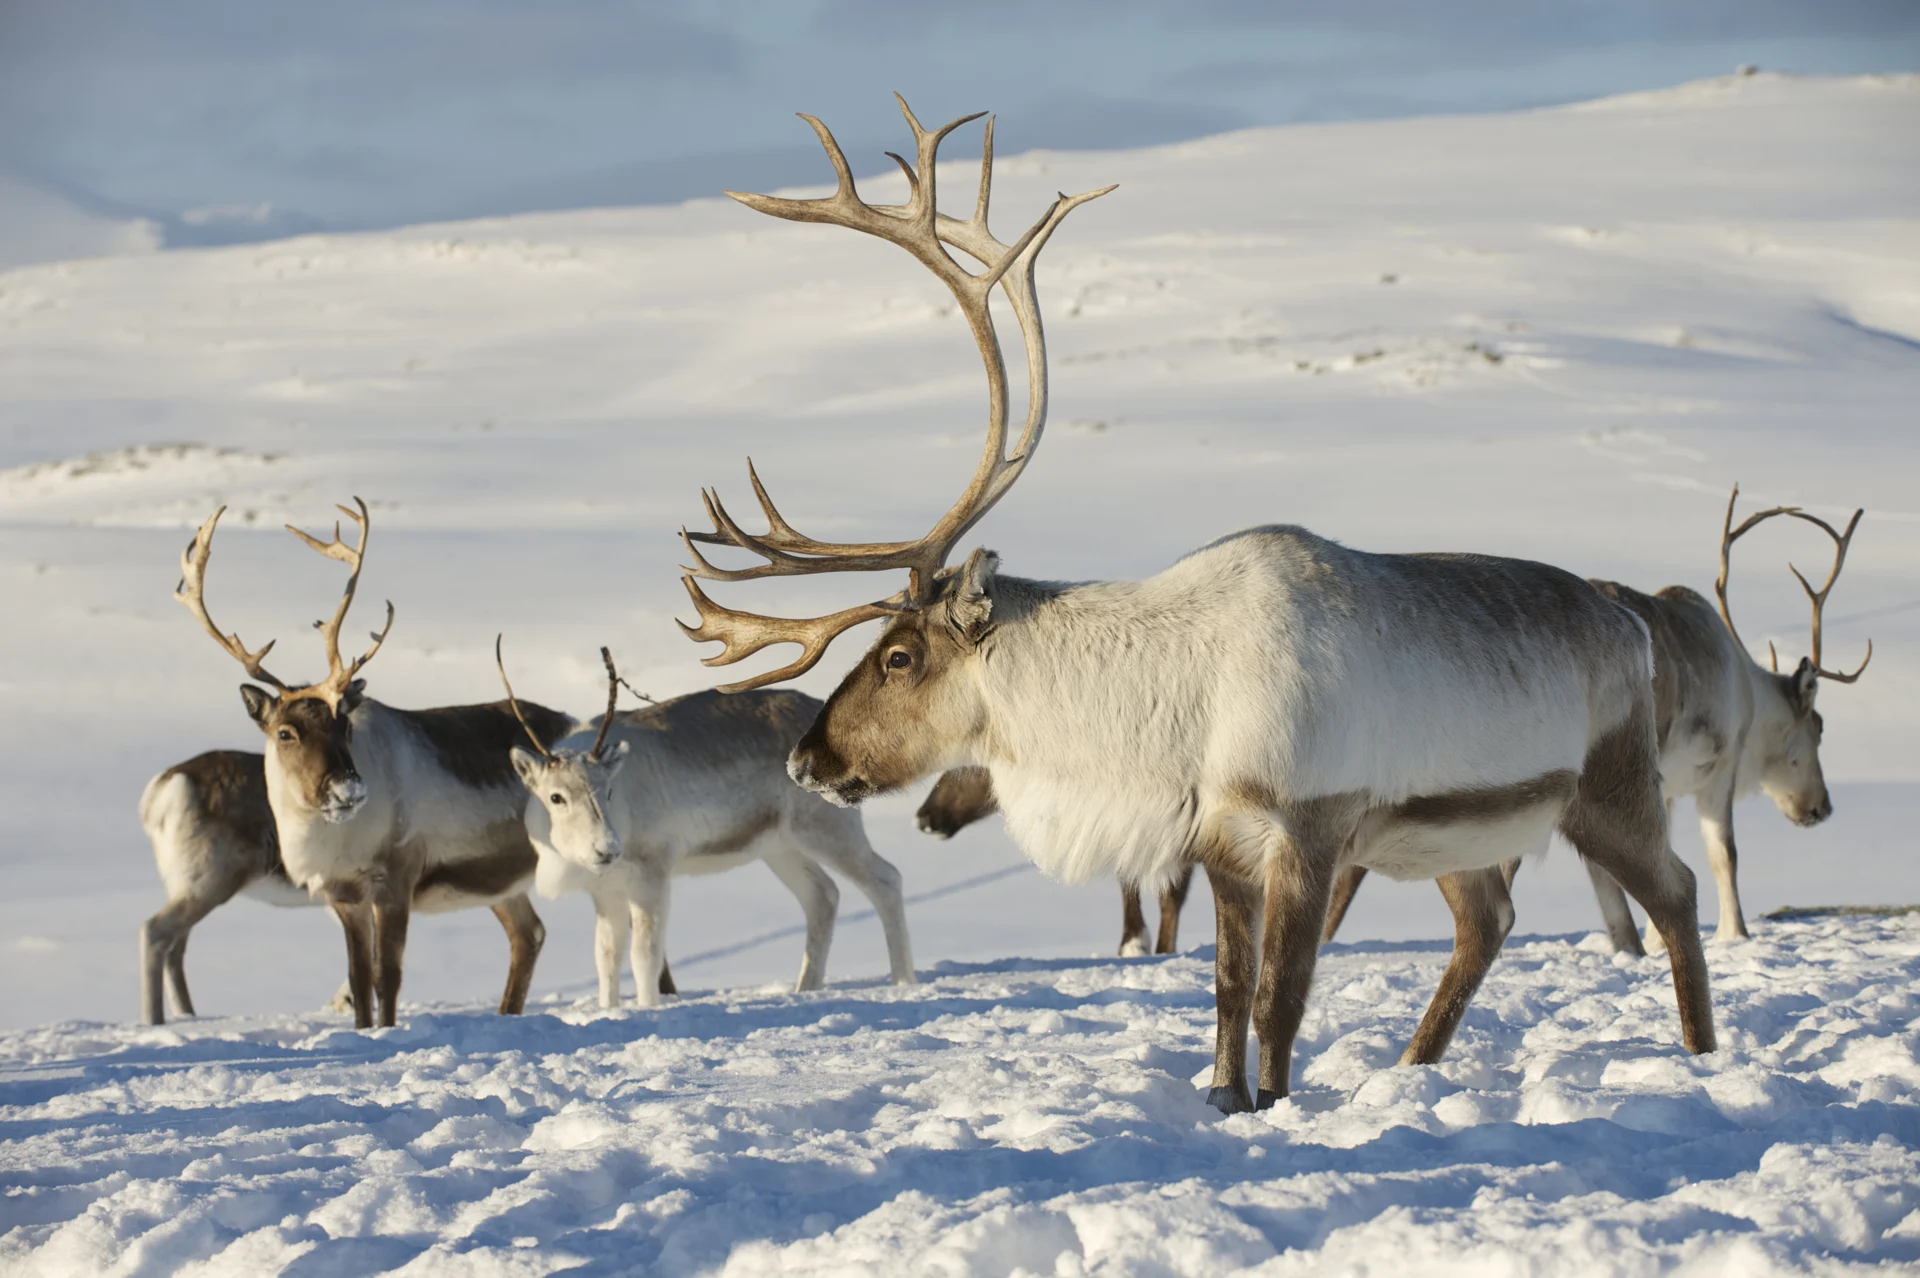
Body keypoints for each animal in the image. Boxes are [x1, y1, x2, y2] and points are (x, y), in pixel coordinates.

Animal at [506, 648, 917, 1005]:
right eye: (555, 797)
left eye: (607, 790)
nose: (607, 848)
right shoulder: (604, 891)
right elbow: (606, 958)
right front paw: (609, 1010)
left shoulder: (651, 875)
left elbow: (644, 956)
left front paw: (647, 1008)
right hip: (779, 847)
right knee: (822, 896)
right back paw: (805, 987)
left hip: (828, 829)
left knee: (886, 879)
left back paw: (902, 982)